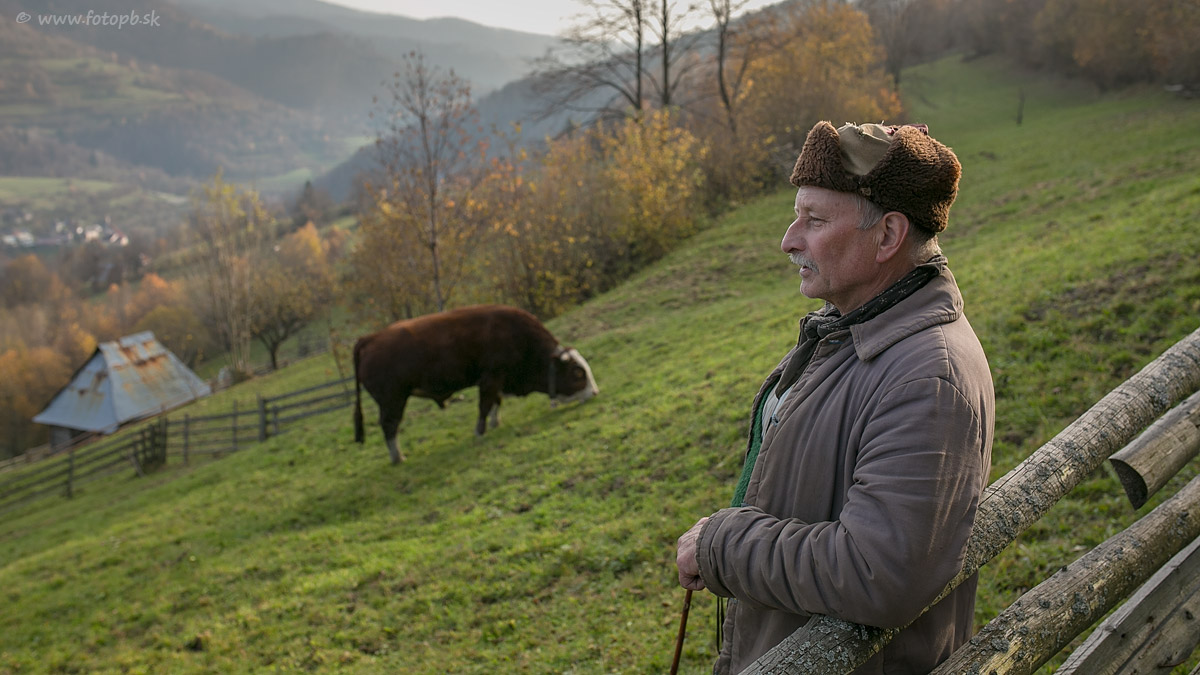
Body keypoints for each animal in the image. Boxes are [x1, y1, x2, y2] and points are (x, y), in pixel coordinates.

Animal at [353, 304, 599, 464]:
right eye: (578, 372)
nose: (595, 392)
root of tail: (370, 338)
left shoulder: (497, 379)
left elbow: (495, 402)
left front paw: (495, 423)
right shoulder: (490, 377)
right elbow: (485, 404)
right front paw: (480, 431)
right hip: (393, 401)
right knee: (389, 426)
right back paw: (398, 457)